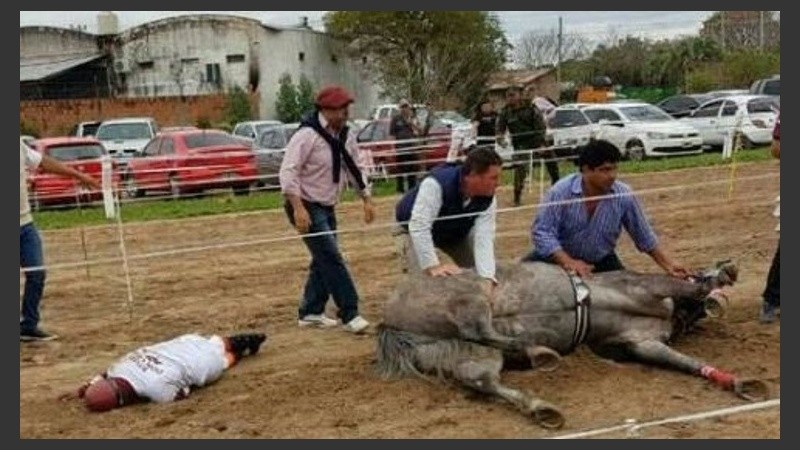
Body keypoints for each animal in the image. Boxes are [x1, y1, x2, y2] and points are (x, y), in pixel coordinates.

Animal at [378, 260, 772, 428]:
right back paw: (538, 353)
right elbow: (688, 286)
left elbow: (682, 361)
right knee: (478, 327)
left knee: (482, 377)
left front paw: (739, 382)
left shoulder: (643, 344)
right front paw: (719, 277)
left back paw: (541, 403)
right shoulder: (645, 286)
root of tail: (389, 318)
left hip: (464, 353)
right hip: (471, 298)